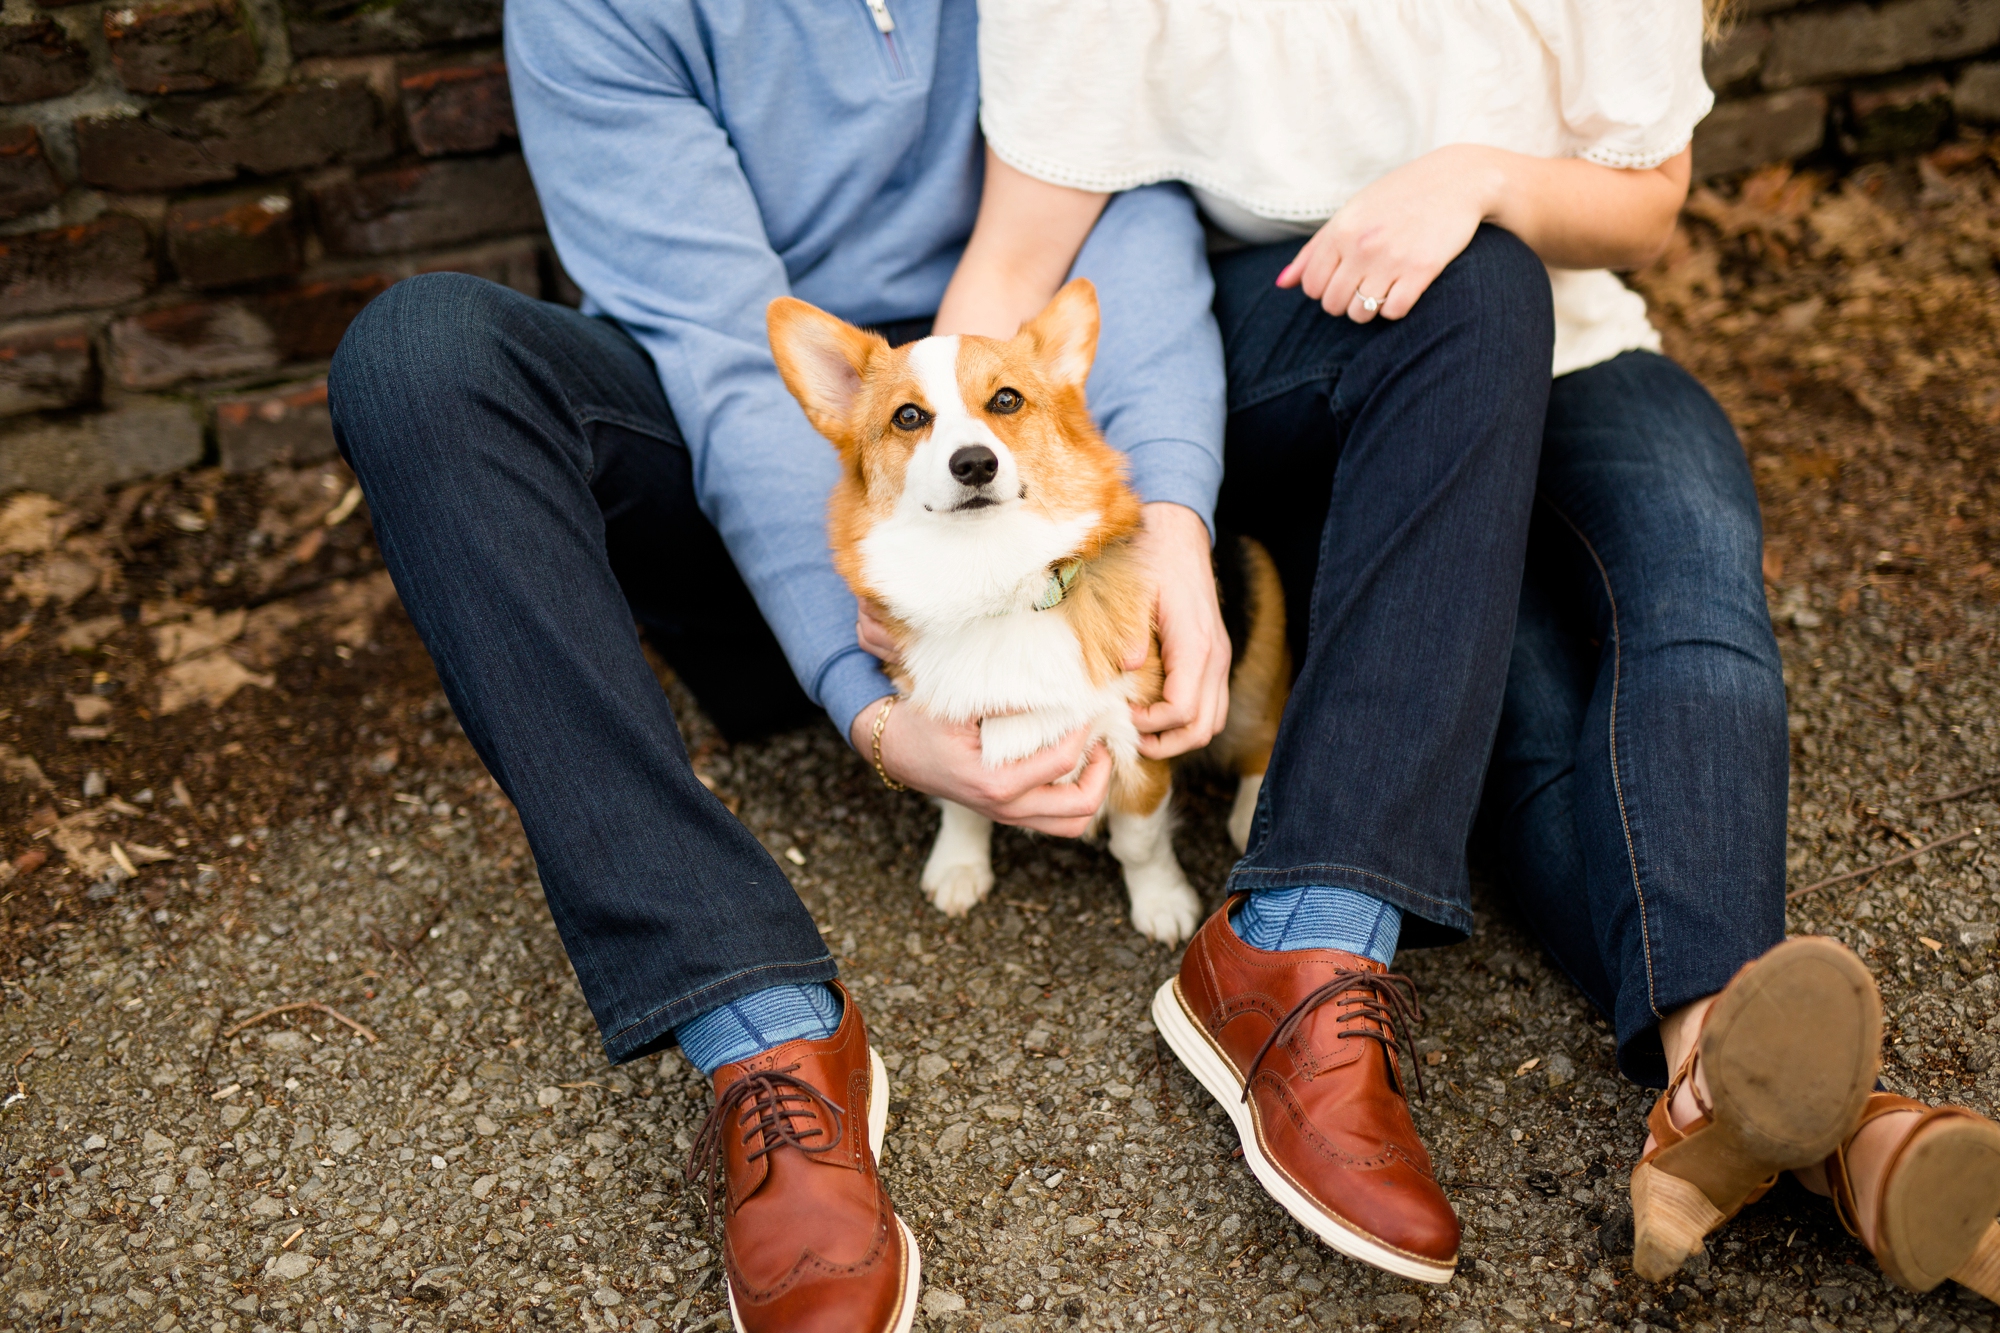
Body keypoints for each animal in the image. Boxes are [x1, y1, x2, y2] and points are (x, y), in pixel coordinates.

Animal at [764, 280, 1280, 944]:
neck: (991, 576)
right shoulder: (949, 734)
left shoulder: (1142, 741)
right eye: (909, 416)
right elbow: (962, 806)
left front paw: (1162, 901)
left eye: (1006, 400)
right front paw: (959, 866)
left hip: (1252, 658)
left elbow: (1137, 842)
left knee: (1261, 737)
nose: (974, 463)